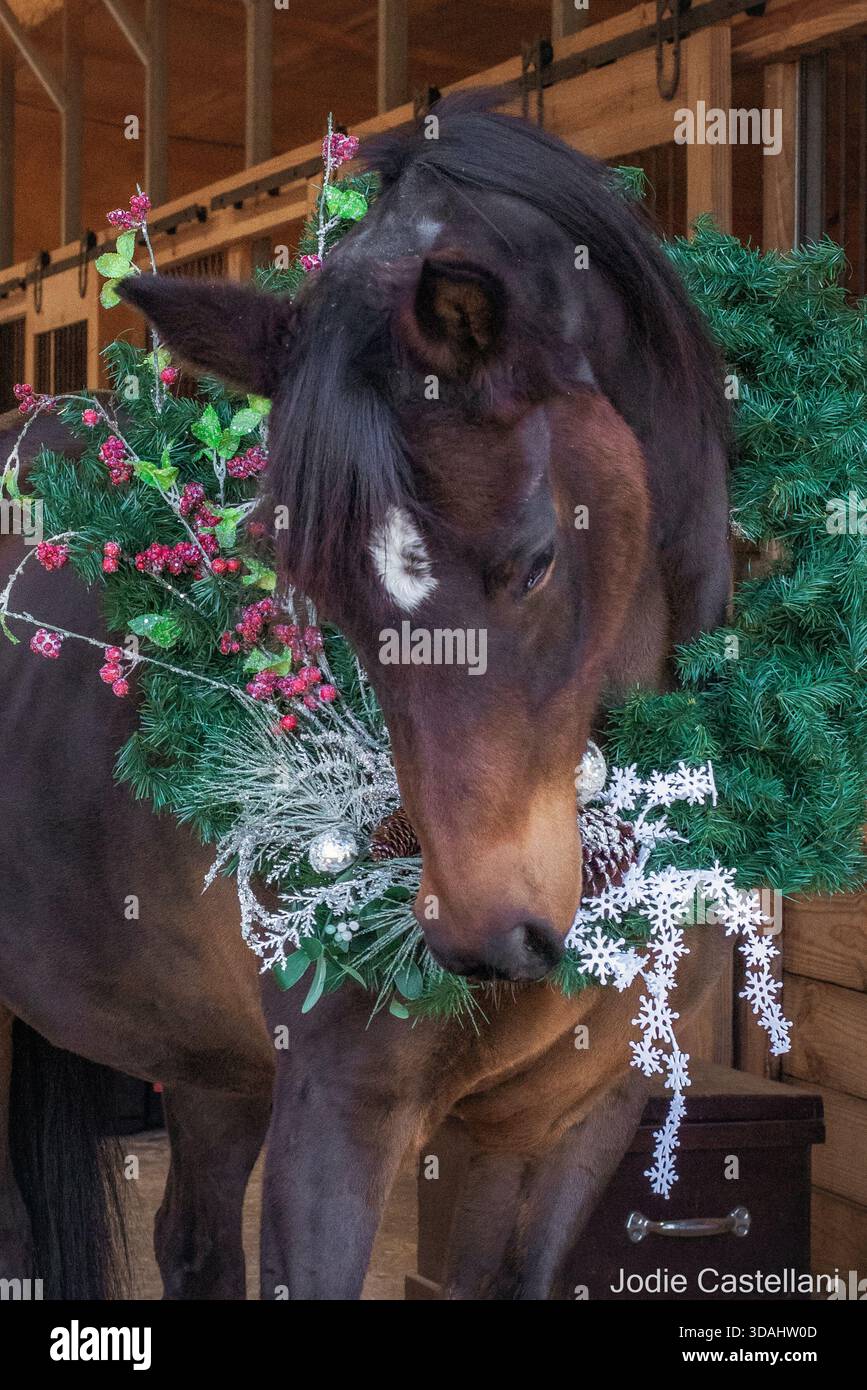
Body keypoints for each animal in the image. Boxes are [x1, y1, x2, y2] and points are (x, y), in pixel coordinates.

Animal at [0, 96, 732, 1299]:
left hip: (211, 1072)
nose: (483, 937)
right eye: (319, 594)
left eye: (536, 560)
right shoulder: (338, 1124)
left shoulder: (568, 1129)